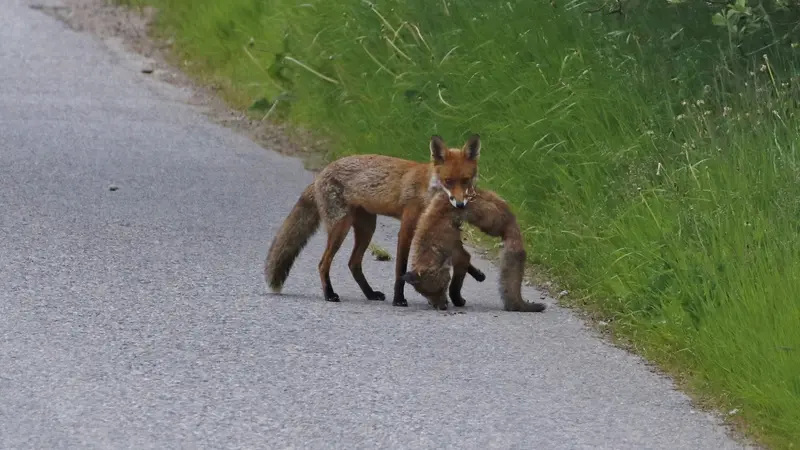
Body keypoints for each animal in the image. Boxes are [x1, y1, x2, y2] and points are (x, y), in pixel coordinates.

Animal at [264, 134, 487, 307]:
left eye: (466, 181)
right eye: (448, 181)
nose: (460, 205)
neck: (428, 189)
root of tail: (321, 174)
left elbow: (460, 254)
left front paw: (476, 274)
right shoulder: (407, 228)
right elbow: (400, 269)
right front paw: (399, 300)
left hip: (367, 228)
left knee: (353, 263)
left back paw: (370, 294)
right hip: (340, 227)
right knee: (323, 263)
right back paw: (329, 294)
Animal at [403, 187, 547, 312]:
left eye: (442, 288)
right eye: (425, 294)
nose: (442, 307)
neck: (431, 246)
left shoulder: (458, 256)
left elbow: (455, 286)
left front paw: (458, 300)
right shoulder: (456, 250)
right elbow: (467, 265)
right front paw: (478, 275)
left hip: (489, 224)